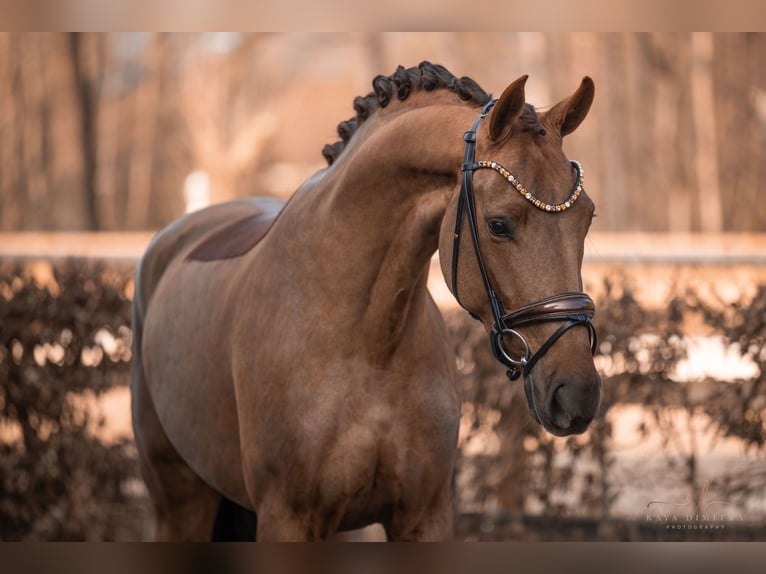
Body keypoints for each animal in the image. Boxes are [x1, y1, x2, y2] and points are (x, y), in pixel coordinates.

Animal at [130, 63, 600, 544]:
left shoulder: (424, 516)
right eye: (499, 224)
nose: (577, 393)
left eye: (588, 218)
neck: (368, 342)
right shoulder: (287, 519)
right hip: (179, 503)